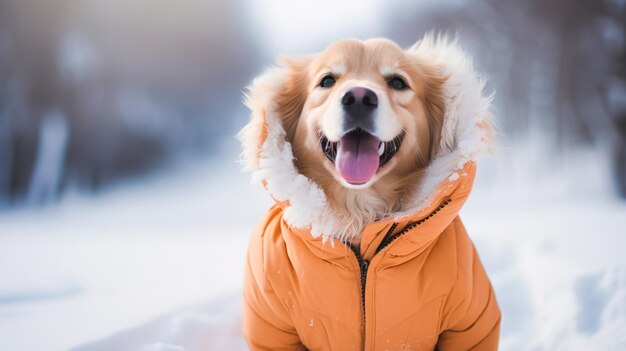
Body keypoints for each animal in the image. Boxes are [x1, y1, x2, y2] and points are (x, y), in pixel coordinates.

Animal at [238, 33, 498, 351]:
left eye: (398, 82)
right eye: (327, 80)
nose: (359, 97)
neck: (360, 211)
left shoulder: (469, 321)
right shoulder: (271, 322)